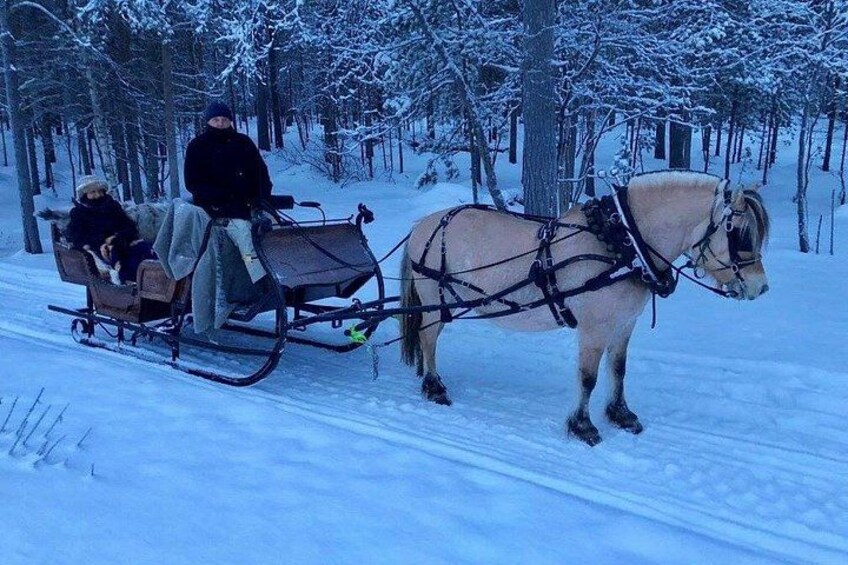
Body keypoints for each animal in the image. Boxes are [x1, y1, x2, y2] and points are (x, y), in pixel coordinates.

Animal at [399, 170, 770, 446]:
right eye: (739, 234)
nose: (760, 288)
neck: (621, 244)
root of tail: (423, 223)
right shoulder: (594, 328)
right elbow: (588, 378)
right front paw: (582, 426)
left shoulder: (624, 324)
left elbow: (618, 370)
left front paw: (621, 415)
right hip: (434, 300)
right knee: (428, 339)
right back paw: (434, 388)